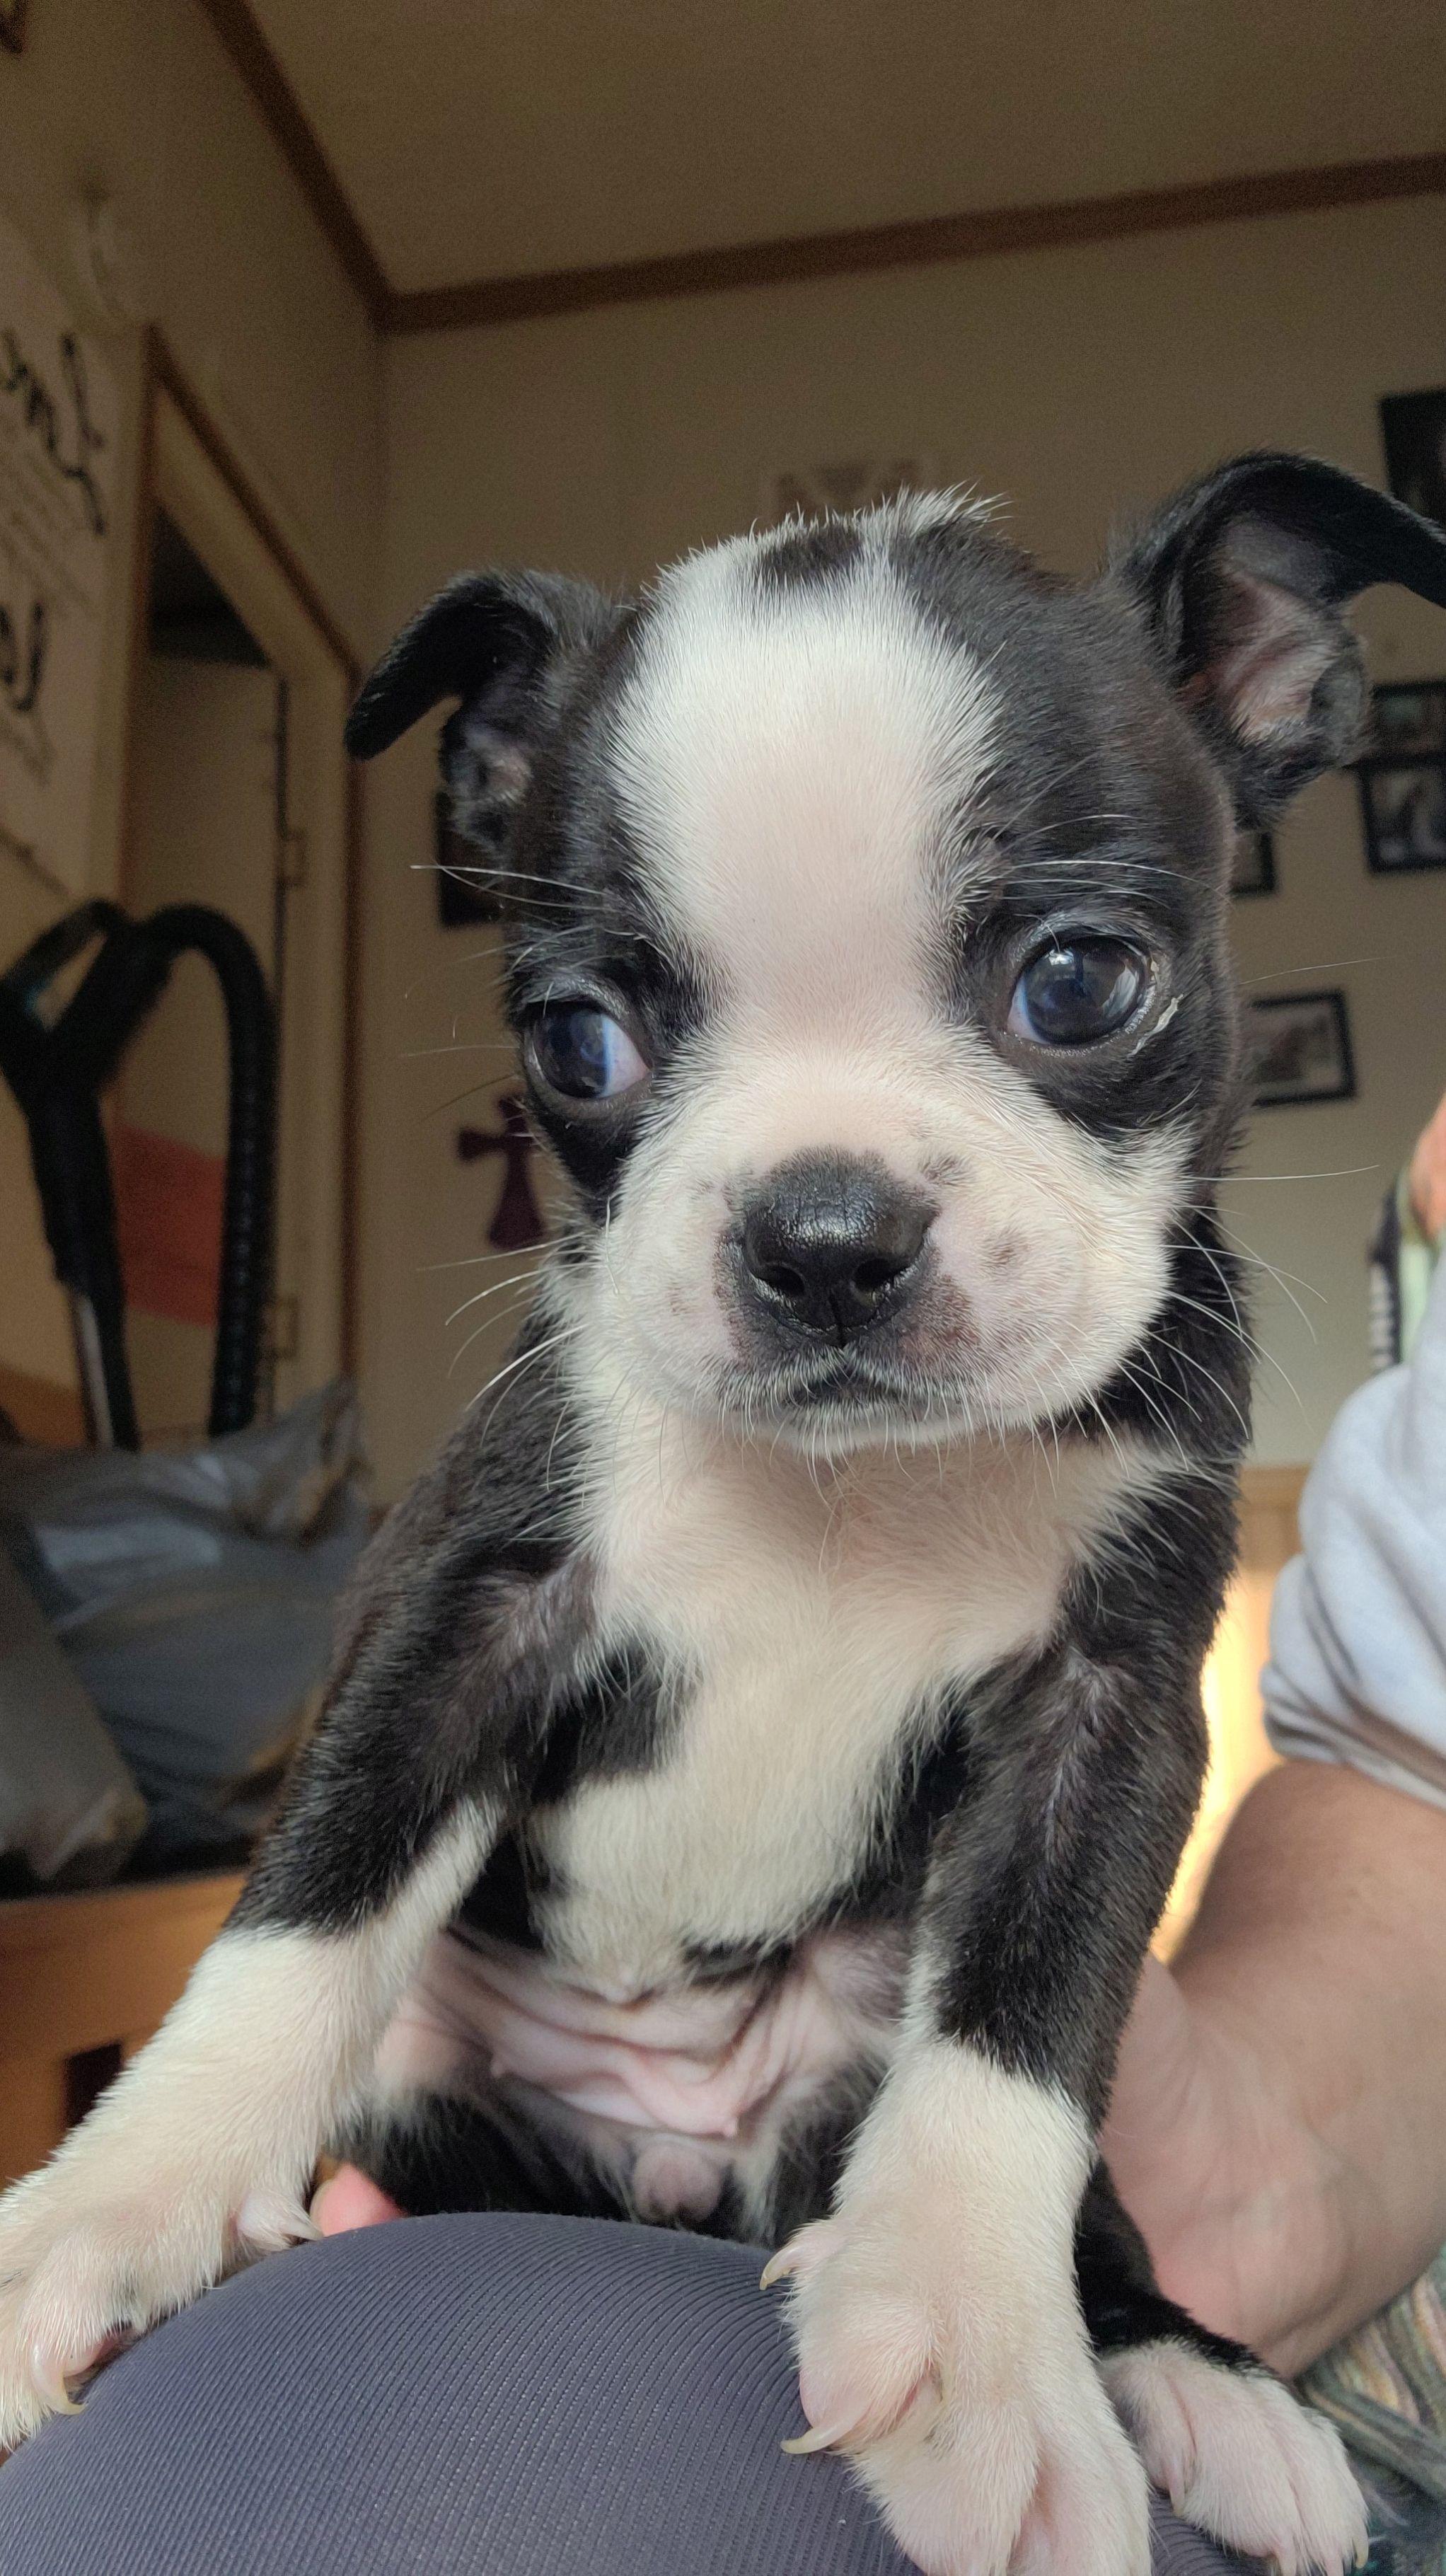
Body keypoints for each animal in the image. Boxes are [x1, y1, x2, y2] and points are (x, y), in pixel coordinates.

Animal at [5, 451, 1445, 2573]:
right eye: (574, 1044)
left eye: (1079, 984)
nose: (823, 1231)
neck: (849, 1485)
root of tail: (668, 2165)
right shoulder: (468, 1602)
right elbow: (300, 1920)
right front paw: (118, 2203)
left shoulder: (1107, 1713)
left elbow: (1026, 2030)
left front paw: (983, 2348)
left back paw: (1197, 2379)